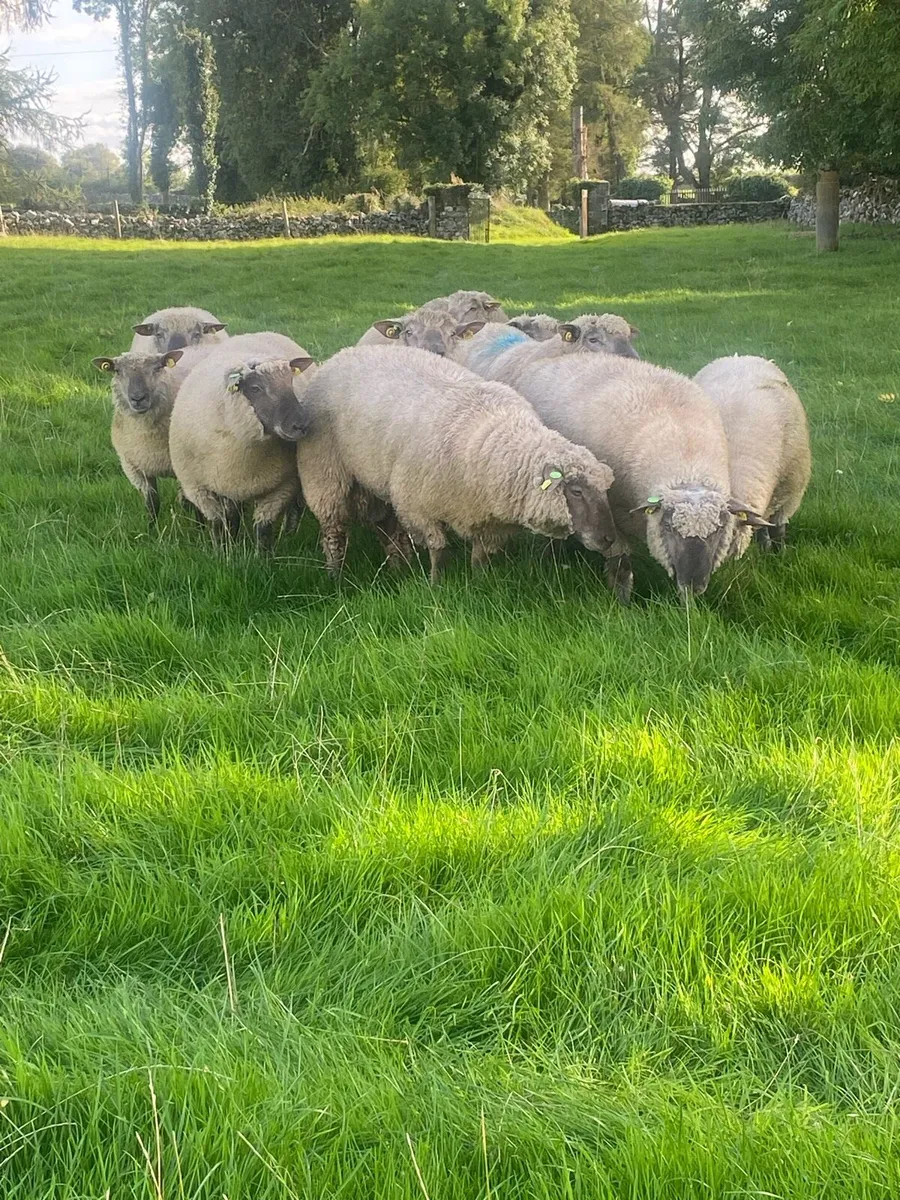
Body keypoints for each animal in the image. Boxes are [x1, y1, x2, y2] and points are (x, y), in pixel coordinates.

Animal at [92, 344, 213, 524]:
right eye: (117, 371)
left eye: (157, 368)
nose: (138, 398)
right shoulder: (137, 469)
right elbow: (152, 503)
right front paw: (151, 528)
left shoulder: (189, 471)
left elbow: (198, 507)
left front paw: (200, 527)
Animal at [168, 332, 316, 548]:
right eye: (255, 388)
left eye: (291, 382)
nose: (301, 425)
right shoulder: (199, 487)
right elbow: (219, 523)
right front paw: (223, 549)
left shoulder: (282, 485)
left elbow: (263, 528)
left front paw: (262, 554)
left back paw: (289, 533)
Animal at [296, 345, 628, 593]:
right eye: (576, 491)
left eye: (605, 490)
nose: (608, 539)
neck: (490, 440)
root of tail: (345, 353)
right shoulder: (417, 505)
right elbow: (438, 550)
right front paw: (436, 586)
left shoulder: (485, 517)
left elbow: (480, 555)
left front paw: (480, 582)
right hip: (324, 472)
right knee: (335, 531)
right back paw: (335, 577)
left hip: (374, 480)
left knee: (385, 527)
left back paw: (397, 569)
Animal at [495, 354, 769, 598]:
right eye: (668, 526)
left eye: (720, 529)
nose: (694, 584)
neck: (687, 462)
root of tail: (547, 360)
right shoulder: (614, 516)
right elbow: (621, 566)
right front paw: (622, 603)